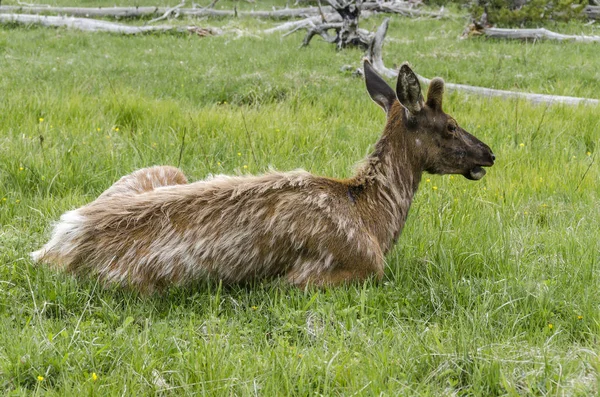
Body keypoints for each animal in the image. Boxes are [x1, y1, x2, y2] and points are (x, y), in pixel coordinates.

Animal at [30, 61, 494, 290]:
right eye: (450, 125)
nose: (488, 153)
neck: (371, 215)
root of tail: (56, 246)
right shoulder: (339, 271)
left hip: (162, 171)